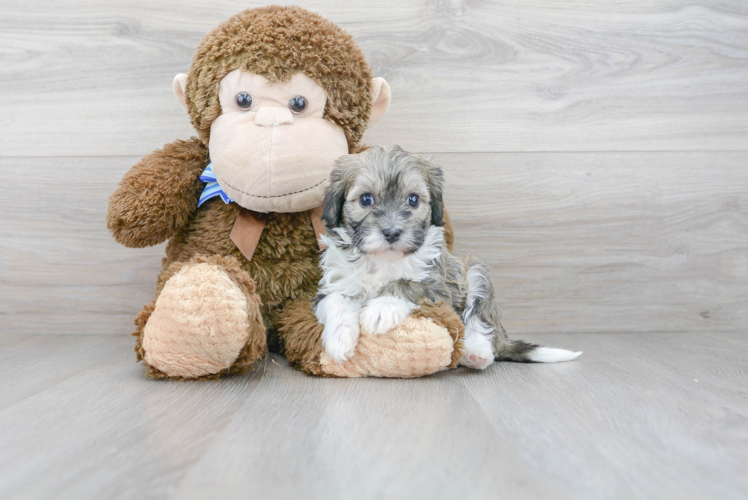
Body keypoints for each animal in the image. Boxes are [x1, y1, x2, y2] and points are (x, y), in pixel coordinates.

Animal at [312, 143, 580, 370]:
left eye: (413, 199)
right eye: (366, 199)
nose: (392, 232)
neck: (384, 260)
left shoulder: (438, 285)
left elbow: (407, 284)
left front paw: (381, 309)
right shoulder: (332, 283)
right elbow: (335, 300)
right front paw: (339, 339)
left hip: (475, 273)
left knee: (478, 321)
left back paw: (476, 352)